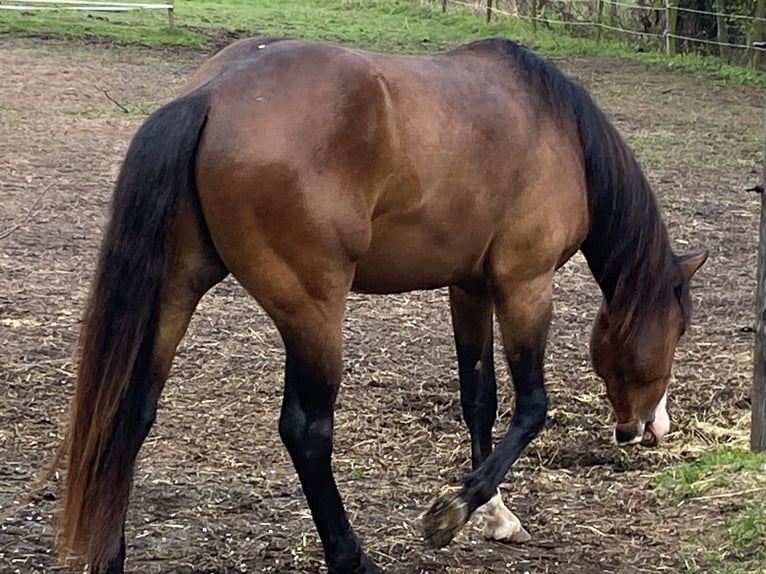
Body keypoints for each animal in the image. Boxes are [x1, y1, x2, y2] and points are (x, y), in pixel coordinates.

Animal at [57, 36, 707, 574]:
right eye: (675, 332)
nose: (650, 429)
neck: (558, 128)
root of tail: (212, 93)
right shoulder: (525, 283)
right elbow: (530, 407)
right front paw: (453, 512)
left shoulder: (469, 286)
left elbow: (479, 399)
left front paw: (492, 511)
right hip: (313, 312)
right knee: (307, 431)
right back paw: (353, 559)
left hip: (175, 291)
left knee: (129, 414)